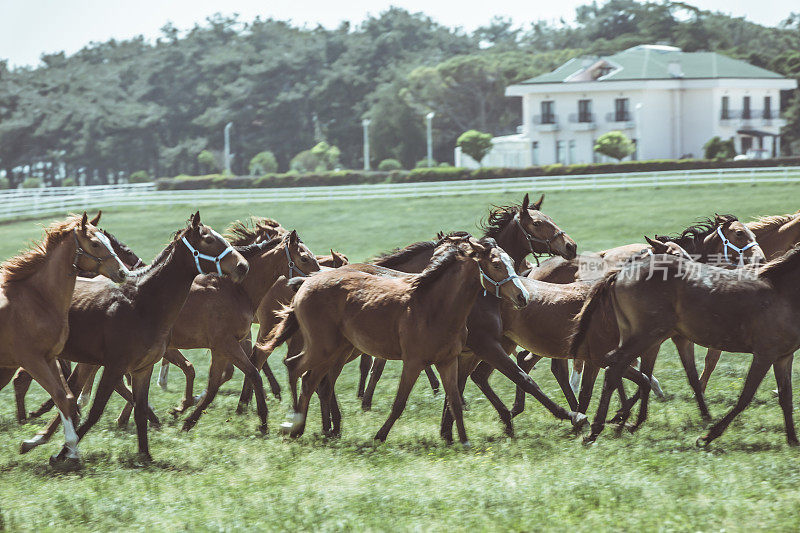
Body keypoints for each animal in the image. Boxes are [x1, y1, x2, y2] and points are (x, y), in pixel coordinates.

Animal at [0, 212, 128, 462]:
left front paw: (69, 449)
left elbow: (68, 398)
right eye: (95, 244)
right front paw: (70, 446)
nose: (122, 272)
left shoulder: (50, 358)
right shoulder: (32, 360)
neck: (38, 299)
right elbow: (60, 395)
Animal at [23, 212, 248, 466]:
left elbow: (139, 410)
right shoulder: (114, 366)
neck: (142, 303)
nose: (242, 265)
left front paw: (145, 454)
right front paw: (63, 452)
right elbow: (96, 411)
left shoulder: (143, 368)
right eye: (208, 239)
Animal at [268, 235, 532, 442]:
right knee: (296, 368)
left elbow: (455, 402)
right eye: (496, 264)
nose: (523, 296)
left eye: (511, 261)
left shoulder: (448, 361)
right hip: (323, 348)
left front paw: (463, 441)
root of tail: (306, 283)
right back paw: (294, 424)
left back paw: (314, 429)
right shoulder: (414, 362)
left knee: (314, 382)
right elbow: (399, 403)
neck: (434, 306)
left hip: (336, 351)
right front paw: (379, 436)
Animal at [568, 249, 800, 444]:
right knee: (615, 368)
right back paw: (598, 428)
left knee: (623, 369)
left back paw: (626, 421)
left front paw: (792, 440)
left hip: (638, 336)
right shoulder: (765, 353)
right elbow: (746, 396)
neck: (782, 294)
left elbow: (786, 398)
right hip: (645, 336)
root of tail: (621, 273)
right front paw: (708, 436)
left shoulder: (783, 357)